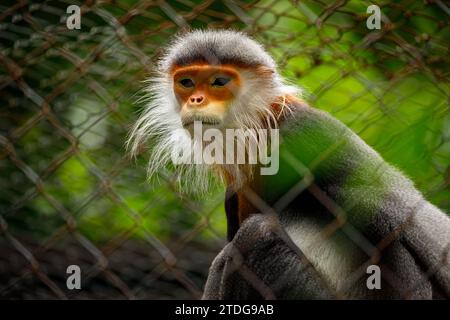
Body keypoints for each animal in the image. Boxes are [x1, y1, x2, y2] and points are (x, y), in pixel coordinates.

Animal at [125, 30, 450, 300]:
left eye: (219, 82)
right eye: (187, 82)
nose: (195, 99)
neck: (260, 131)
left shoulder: (310, 136)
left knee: (258, 234)